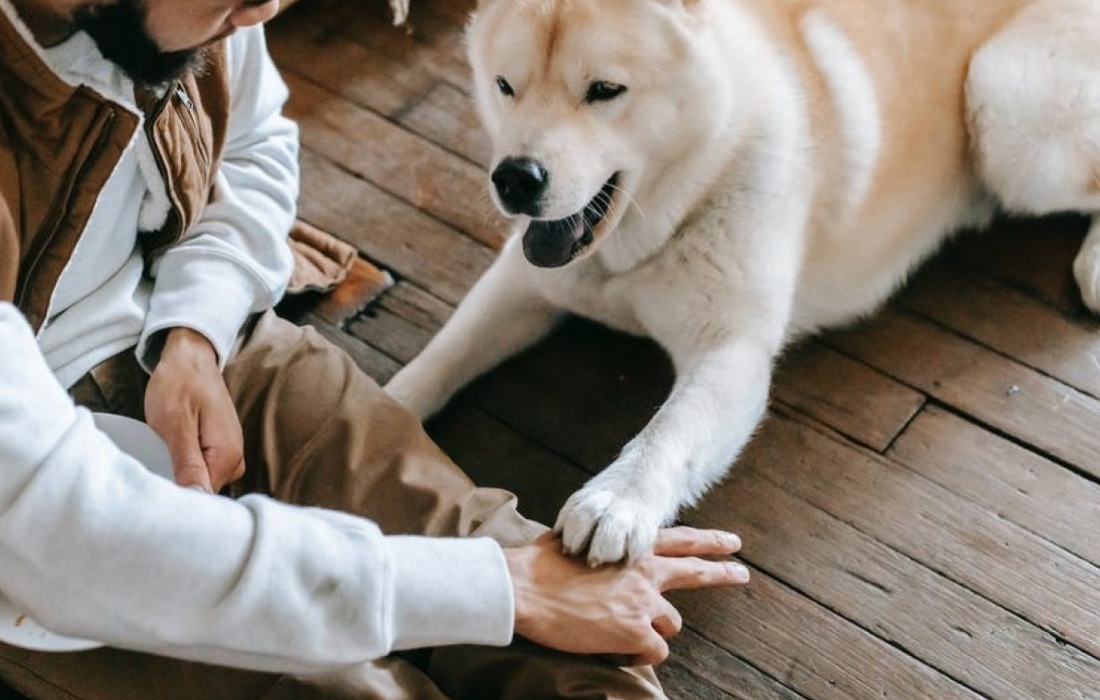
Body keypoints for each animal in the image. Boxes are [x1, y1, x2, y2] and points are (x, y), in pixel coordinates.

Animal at [385, 0, 1100, 563]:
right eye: (506, 85)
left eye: (605, 91)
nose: (515, 178)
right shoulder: (524, 281)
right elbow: (442, 356)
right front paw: (383, 408)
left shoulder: (731, 350)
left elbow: (670, 431)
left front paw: (617, 501)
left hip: (1005, 109)